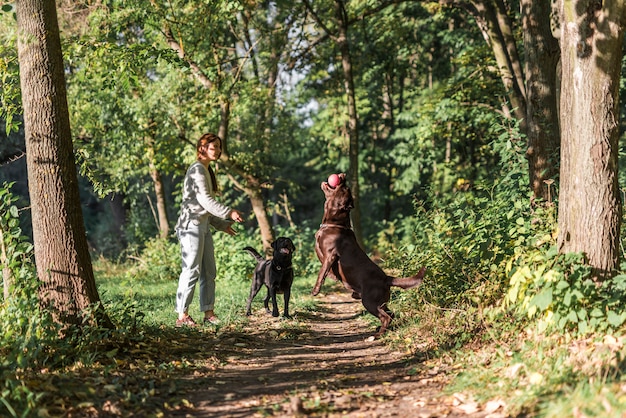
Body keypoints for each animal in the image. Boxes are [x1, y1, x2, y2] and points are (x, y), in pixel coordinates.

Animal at [312, 175, 424, 338]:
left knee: (386, 317)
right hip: (379, 302)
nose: (343, 175)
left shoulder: (330, 255)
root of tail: (387, 278)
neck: (334, 223)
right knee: (391, 313)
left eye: (345, 188)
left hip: (369, 301)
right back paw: (381, 330)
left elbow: (321, 272)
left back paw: (378, 335)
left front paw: (315, 290)